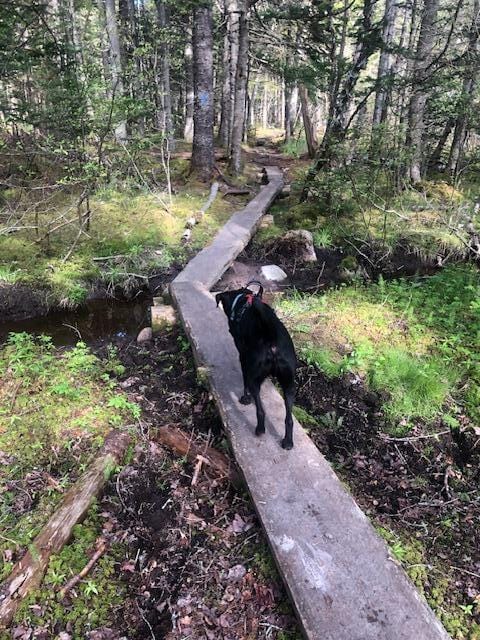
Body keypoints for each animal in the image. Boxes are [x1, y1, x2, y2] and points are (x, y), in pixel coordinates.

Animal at [217, 280, 296, 450]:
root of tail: (272, 339)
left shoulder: (243, 356)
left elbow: (244, 379)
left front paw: (245, 398)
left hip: (256, 375)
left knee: (261, 411)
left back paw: (260, 429)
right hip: (289, 384)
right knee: (289, 419)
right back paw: (287, 442)